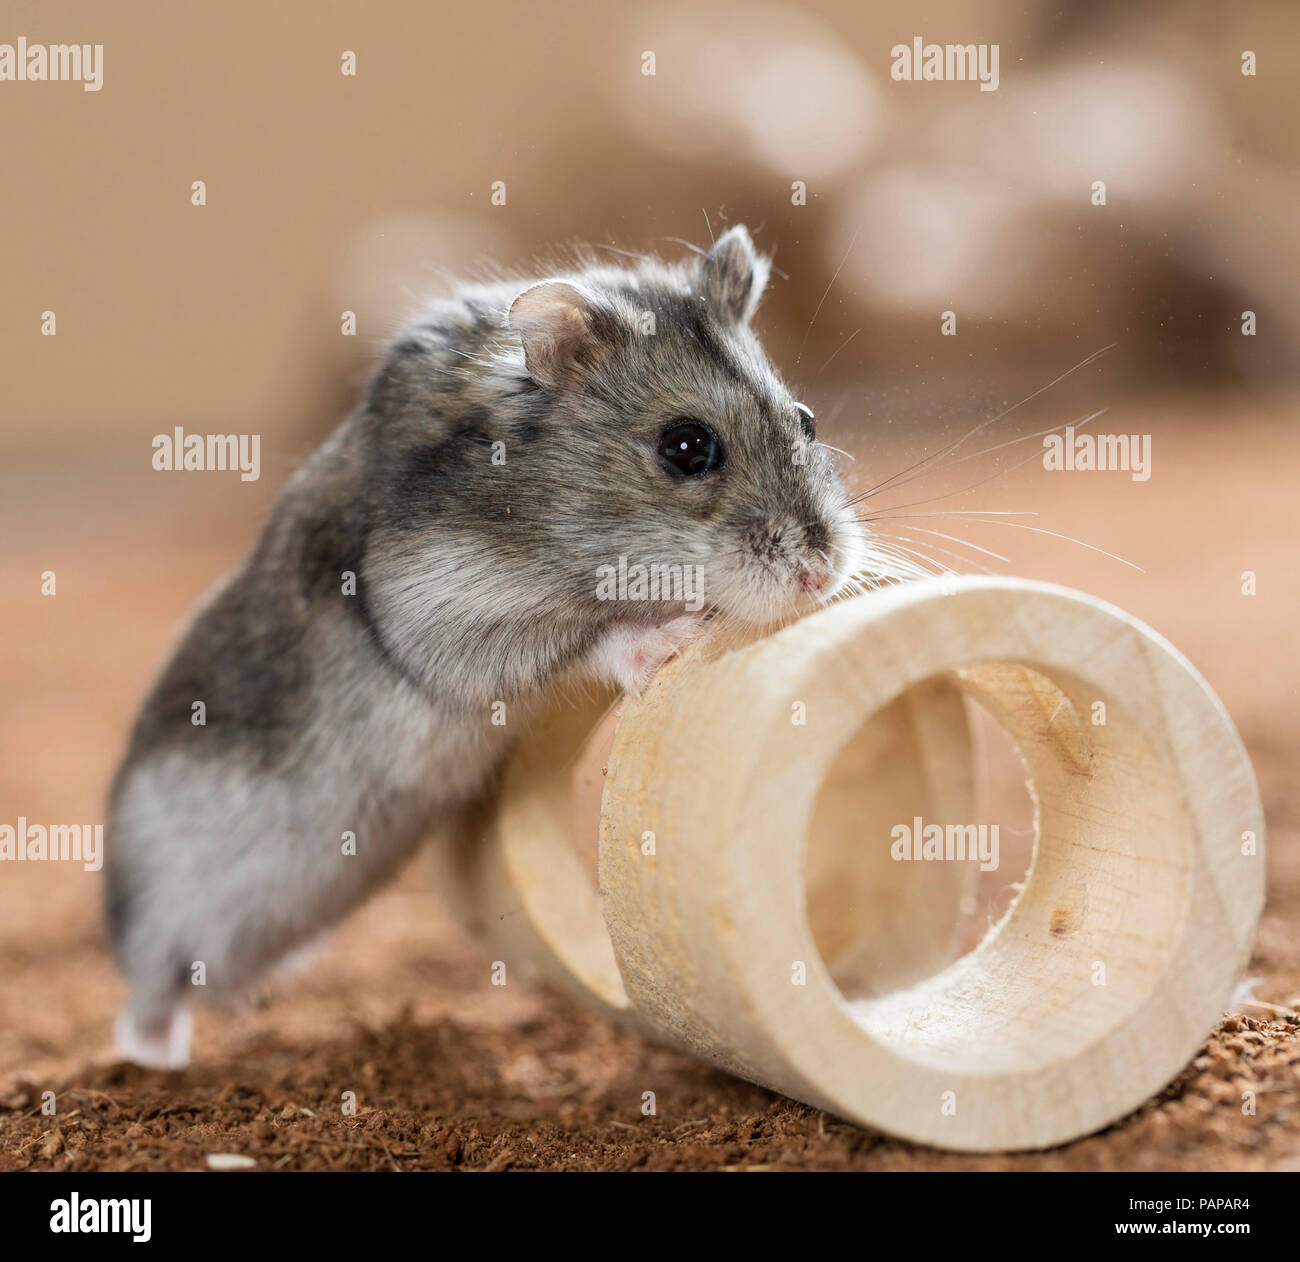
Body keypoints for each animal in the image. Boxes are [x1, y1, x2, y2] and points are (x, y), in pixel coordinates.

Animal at [106, 224, 883, 1065]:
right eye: (686, 447)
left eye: (807, 418)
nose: (820, 574)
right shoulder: (443, 612)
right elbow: (592, 635)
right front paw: (674, 632)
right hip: (164, 919)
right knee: (145, 998)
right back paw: (158, 1054)